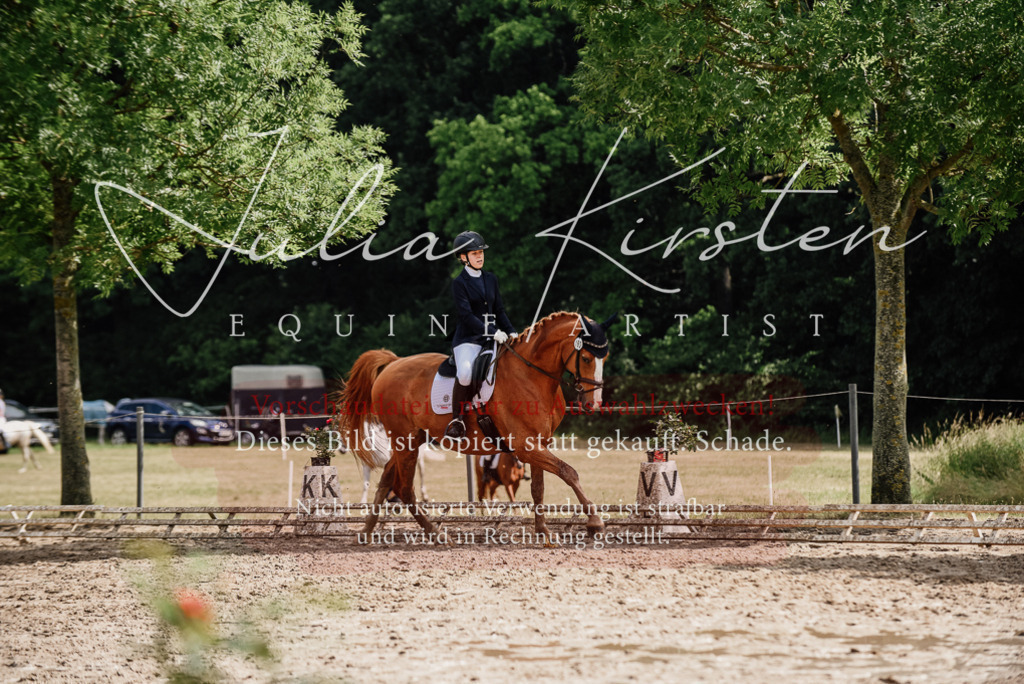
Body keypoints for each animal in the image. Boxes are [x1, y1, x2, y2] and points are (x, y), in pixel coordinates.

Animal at [337, 311, 612, 542]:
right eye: (586, 358)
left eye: (605, 358)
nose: (594, 404)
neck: (532, 376)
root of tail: (394, 362)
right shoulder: (525, 446)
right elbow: (569, 472)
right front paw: (595, 522)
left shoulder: (539, 443)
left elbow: (538, 487)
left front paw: (543, 531)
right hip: (404, 441)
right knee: (404, 489)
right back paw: (437, 535)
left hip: (412, 439)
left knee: (386, 480)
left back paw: (366, 532)